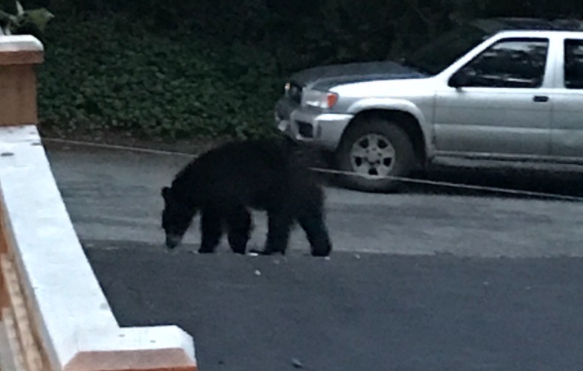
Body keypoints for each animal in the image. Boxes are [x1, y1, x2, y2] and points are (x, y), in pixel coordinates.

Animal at [160, 138, 334, 258]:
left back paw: (268, 250)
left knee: (279, 220)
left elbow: (239, 217)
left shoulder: (226, 189)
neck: (199, 181)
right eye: (164, 225)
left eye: (171, 222)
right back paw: (320, 249)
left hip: (285, 189)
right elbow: (212, 223)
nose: (170, 244)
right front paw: (205, 247)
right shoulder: (213, 200)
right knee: (311, 218)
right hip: (304, 194)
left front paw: (238, 246)